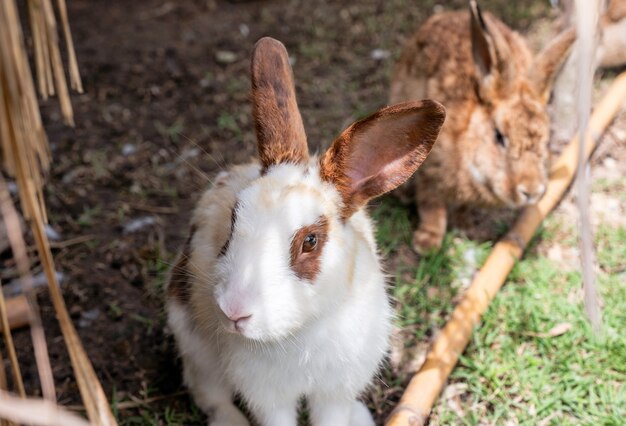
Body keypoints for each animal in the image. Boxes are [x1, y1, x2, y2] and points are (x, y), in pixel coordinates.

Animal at [161, 37, 444, 426]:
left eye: (310, 240)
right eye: (234, 220)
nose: (234, 311)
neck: (303, 331)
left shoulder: (336, 389)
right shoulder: (267, 395)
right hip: (194, 344)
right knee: (210, 395)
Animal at [390, 1, 576, 253]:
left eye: (546, 142)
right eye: (499, 137)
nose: (531, 191)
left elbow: (461, 208)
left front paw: (466, 226)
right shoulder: (429, 170)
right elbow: (431, 205)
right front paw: (427, 243)